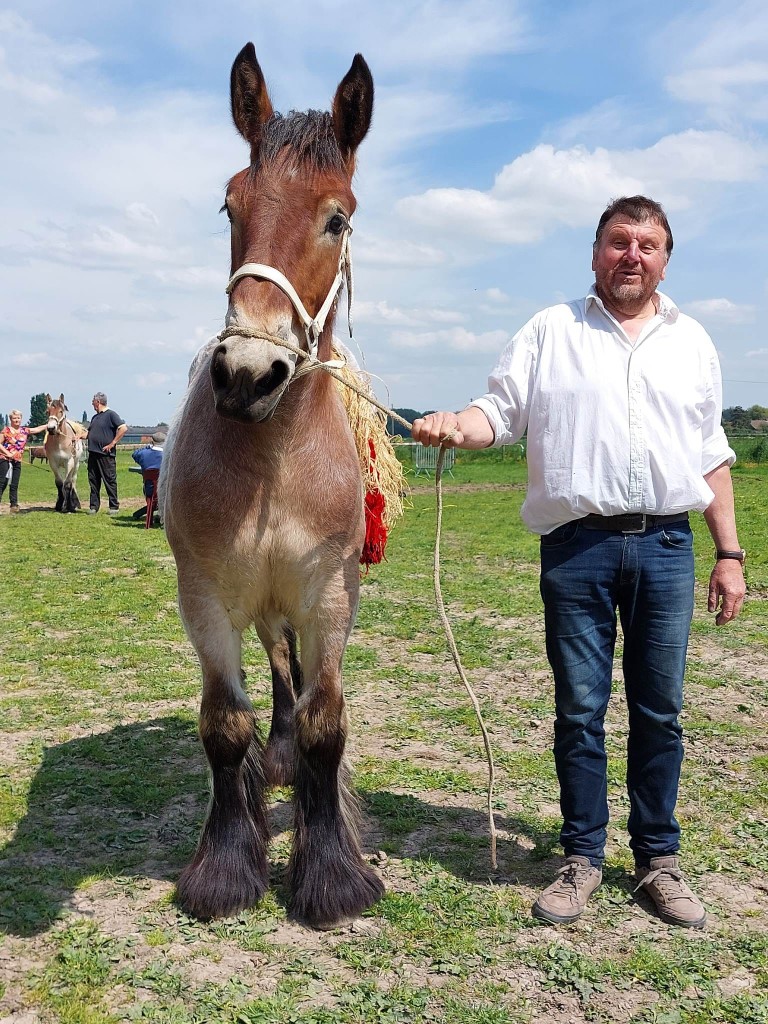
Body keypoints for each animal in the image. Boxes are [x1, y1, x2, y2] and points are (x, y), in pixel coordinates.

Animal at [161, 46, 382, 929]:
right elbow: (226, 725)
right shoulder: (208, 596)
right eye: (231, 206)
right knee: (275, 666)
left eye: (338, 219)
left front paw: (331, 875)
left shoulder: (329, 595)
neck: (273, 465)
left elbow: (326, 723)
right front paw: (226, 866)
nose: (247, 375)